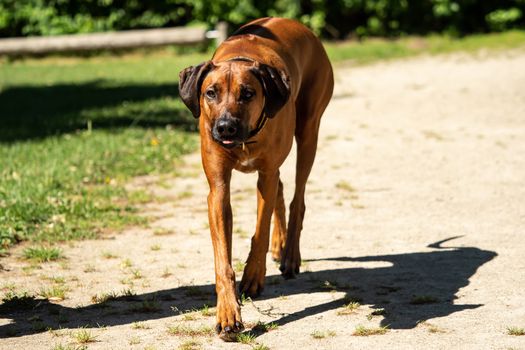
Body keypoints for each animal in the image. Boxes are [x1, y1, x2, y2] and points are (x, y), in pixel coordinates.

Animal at [177, 17, 332, 340]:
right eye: (210, 92)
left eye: (248, 93)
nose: (225, 127)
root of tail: (299, 25)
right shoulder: (218, 188)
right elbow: (222, 259)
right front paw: (228, 314)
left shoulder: (266, 174)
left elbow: (259, 230)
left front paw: (253, 276)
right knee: (282, 189)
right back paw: (280, 243)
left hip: (308, 131)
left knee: (298, 198)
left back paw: (290, 255)